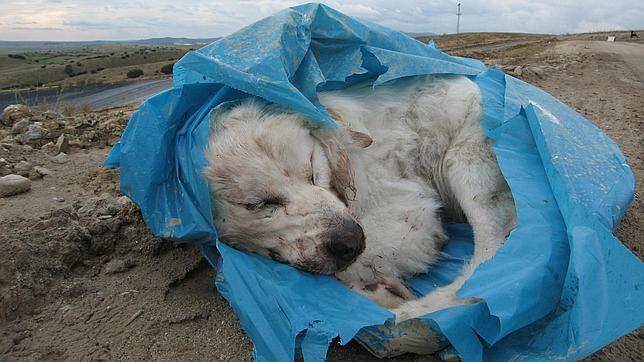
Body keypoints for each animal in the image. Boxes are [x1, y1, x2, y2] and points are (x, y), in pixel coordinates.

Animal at [204, 75, 516, 320]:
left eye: (313, 171)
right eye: (257, 204)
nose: (350, 241)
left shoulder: (410, 216)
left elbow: (365, 261)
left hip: (468, 166)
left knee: (485, 268)